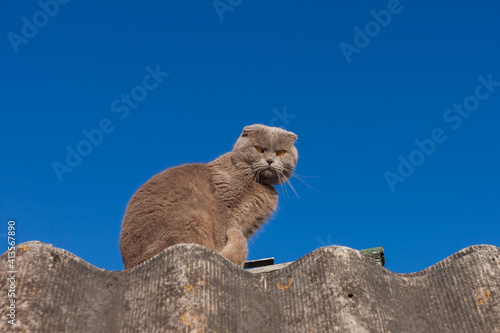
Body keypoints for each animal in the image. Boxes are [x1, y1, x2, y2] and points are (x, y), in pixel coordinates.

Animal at [119, 123, 298, 268]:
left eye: (281, 153)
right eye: (259, 149)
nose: (269, 161)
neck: (259, 183)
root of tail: (130, 264)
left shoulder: (249, 223)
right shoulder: (226, 209)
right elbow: (221, 236)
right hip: (193, 217)